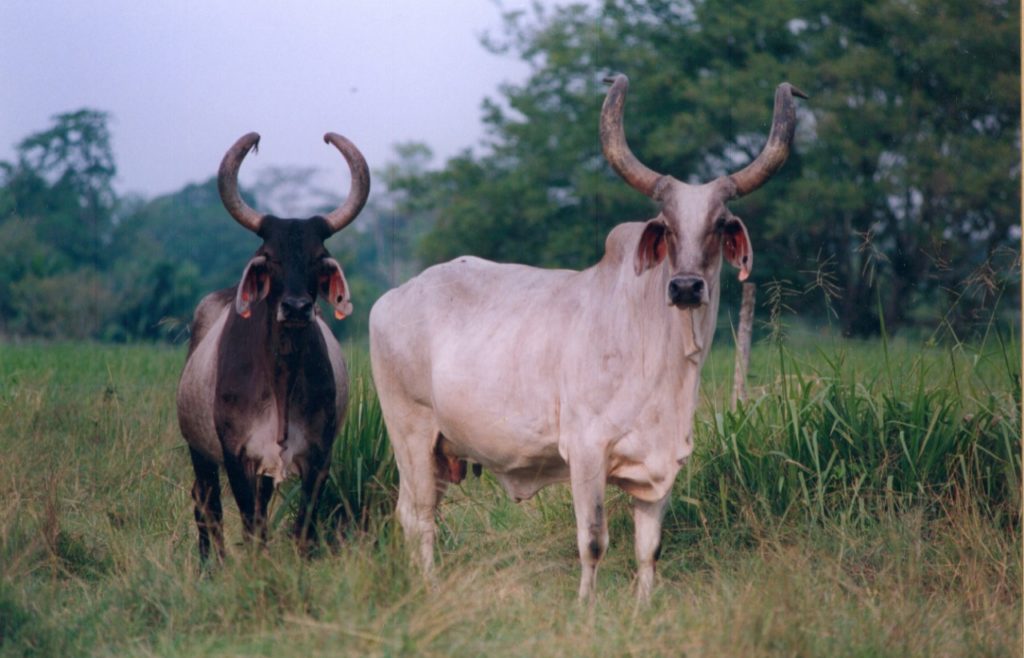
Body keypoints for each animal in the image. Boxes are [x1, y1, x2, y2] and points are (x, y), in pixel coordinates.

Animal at [178, 130, 370, 556]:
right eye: (270, 258)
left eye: (318, 257)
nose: (296, 307)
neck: (281, 372)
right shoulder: (237, 456)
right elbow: (251, 525)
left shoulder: (318, 458)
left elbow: (302, 528)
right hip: (199, 453)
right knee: (206, 506)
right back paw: (209, 563)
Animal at [372, 74, 802, 601]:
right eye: (666, 226)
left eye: (721, 225)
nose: (685, 287)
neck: (659, 360)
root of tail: (394, 297)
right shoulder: (585, 452)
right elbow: (593, 540)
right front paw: (586, 605)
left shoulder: (662, 466)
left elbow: (649, 549)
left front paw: (644, 606)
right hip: (410, 432)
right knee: (420, 518)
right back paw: (429, 587)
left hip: (437, 452)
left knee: (411, 512)